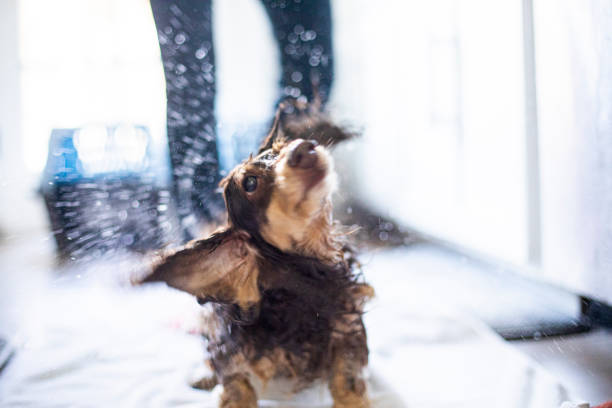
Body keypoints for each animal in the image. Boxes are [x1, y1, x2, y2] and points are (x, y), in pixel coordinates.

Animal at [142, 106, 372, 408]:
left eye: (284, 146)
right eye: (250, 182)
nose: (304, 146)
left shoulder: (346, 327)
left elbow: (347, 379)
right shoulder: (231, 348)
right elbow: (236, 385)